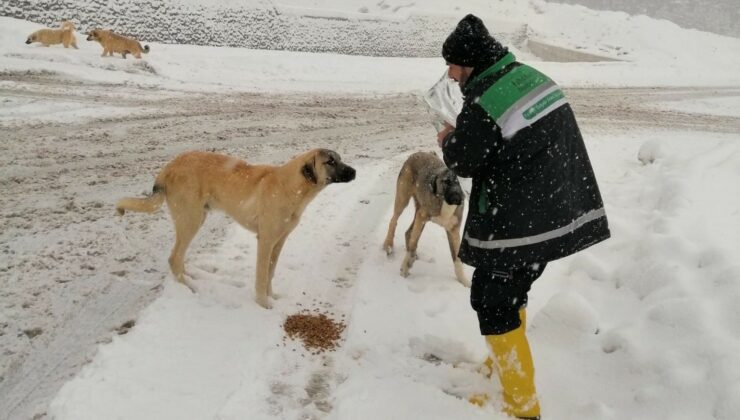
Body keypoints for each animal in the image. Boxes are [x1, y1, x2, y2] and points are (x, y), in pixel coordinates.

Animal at [115, 149, 356, 306]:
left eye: (340, 159)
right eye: (330, 162)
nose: (354, 172)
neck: (291, 187)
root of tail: (168, 166)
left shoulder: (279, 241)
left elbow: (270, 273)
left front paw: (272, 296)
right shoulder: (265, 240)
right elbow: (261, 275)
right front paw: (263, 304)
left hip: (196, 219)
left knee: (179, 257)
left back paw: (190, 275)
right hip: (190, 219)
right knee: (174, 257)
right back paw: (189, 288)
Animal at [384, 150, 466, 286]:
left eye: (458, 182)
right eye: (446, 182)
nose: (457, 198)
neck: (444, 203)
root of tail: (418, 153)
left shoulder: (453, 230)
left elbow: (457, 259)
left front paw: (464, 282)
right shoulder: (422, 217)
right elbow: (413, 243)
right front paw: (405, 268)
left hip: (418, 211)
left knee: (408, 232)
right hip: (403, 199)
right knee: (393, 221)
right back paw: (388, 245)